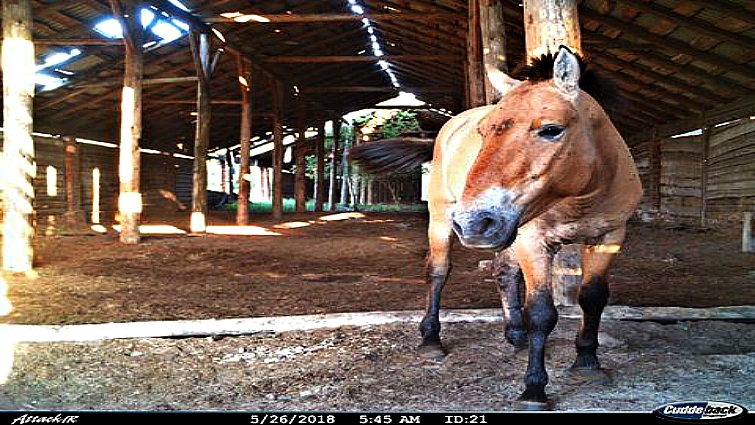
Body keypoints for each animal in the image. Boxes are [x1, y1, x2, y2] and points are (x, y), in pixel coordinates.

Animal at [351, 47, 643, 410]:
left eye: (551, 129)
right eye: (483, 131)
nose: (473, 222)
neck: (582, 194)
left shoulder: (609, 237)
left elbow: (592, 298)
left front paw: (587, 361)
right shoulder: (534, 240)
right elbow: (542, 312)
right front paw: (534, 389)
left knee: (503, 273)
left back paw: (515, 334)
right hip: (445, 219)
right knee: (438, 271)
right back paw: (431, 339)